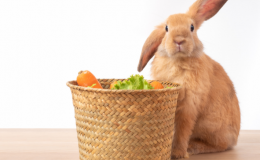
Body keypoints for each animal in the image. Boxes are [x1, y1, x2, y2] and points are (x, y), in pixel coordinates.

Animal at [137, 0, 241, 159]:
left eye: (191, 27)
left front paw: (177, 153)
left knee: (220, 145)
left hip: (211, 126)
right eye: (167, 28)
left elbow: (182, 130)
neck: (177, 60)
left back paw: (193, 147)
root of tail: (235, 138)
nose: (179, 40)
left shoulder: (189, 105)